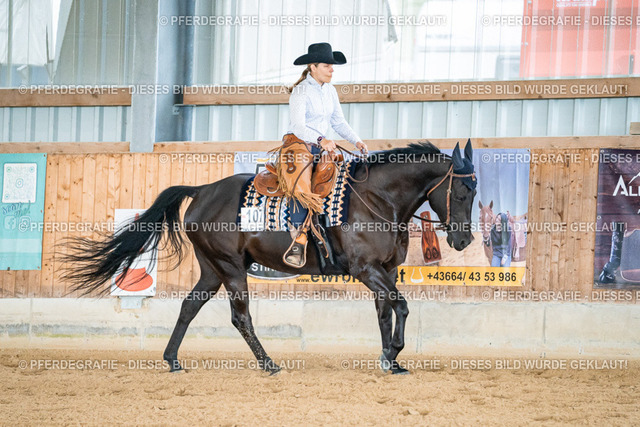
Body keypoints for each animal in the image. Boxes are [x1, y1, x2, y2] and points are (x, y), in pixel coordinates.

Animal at [61, 140, 477, 375]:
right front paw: (393, 352)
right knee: (239, 317)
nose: (463, 239)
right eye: (461, 193)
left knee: (189, 306)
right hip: (230, 268)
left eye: (474, 192)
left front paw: (391, 360)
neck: (377, 199)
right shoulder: (367, 270)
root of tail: (203, 189)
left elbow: (385, 312)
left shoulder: (385, 270)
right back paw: (269, 364)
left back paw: (173, 360)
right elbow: (401, 306)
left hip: (212, 269)